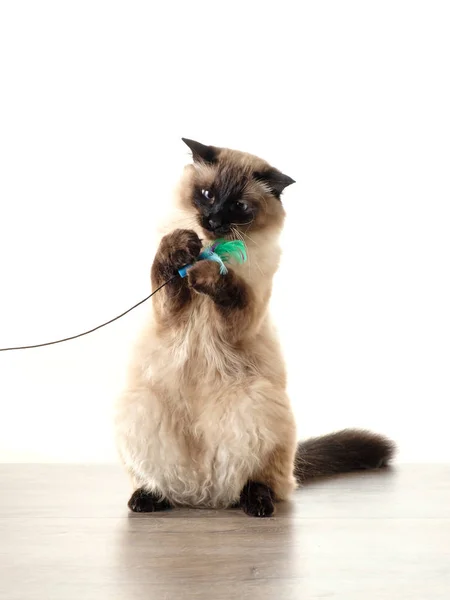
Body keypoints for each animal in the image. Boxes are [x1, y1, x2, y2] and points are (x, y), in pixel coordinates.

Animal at [115, 139, 394, 516]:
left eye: (238, 206)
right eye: (207, 194)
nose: (213, 219)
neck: (212, 245)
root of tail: (204, 498)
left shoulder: (239, 318)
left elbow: (231, 289)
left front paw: (208, 271)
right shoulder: (168, 313)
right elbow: (163, 265)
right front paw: (181, 246)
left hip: (257, 401)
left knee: (259, 482)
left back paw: (257, 504)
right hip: (139, 404)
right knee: (164, 486)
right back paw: (148, 499)